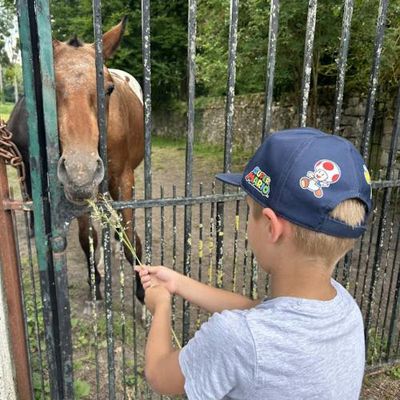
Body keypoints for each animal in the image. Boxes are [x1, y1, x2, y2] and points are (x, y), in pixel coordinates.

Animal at [7, 17, 145, 302]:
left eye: (109, 89)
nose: (81, 172)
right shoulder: (76, 194)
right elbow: (86, 237)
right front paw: (97, 282)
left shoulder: (123, 178)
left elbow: (130, 237)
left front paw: (142, 290)